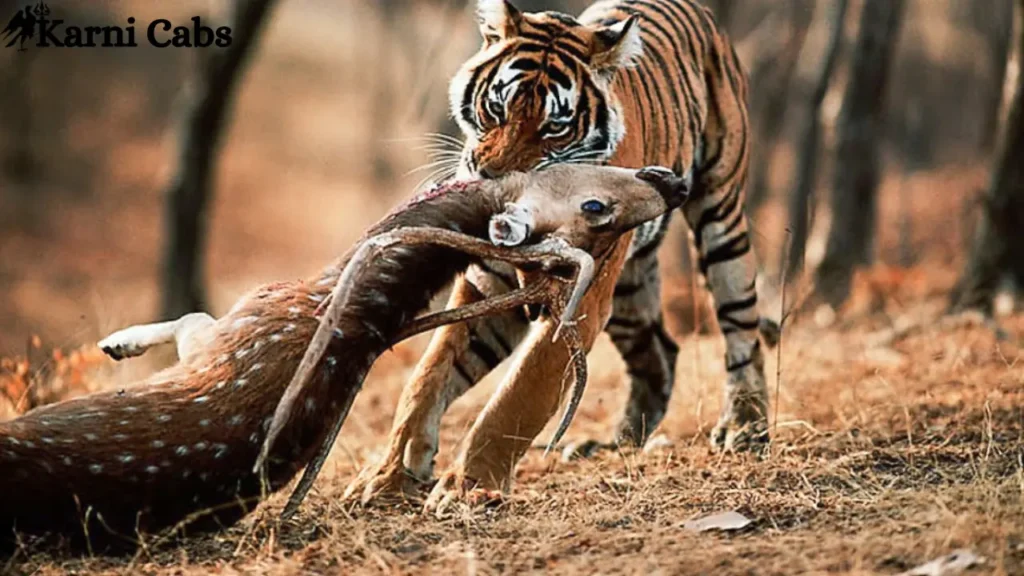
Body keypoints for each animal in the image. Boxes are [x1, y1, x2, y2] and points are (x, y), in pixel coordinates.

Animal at [0, 163, 692, 549]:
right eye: (599, 210)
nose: (675, 183)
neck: (333, 283)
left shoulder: (244, 315)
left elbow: (191, 319)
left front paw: (115, 343)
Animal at [342, 0, 774, 504]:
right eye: (496, 108)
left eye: (554, 128)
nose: (492, 179)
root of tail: (703, 13)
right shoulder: (487, 284)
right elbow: (428, 375)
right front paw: (390, 476)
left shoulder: (577, 302)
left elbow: (519, 395)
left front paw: (468, 487)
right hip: (627, 289)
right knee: (660, 351)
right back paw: (616, 442)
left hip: (720, 217)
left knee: (741, 326)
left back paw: (744, 426)